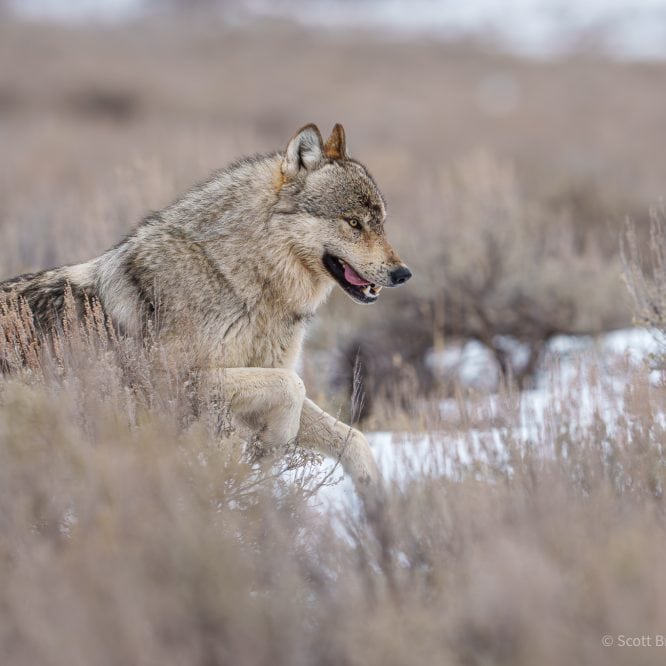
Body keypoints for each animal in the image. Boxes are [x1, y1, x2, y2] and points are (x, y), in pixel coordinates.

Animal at [0, 123, 411, 499]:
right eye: (353, 222)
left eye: (381, 223)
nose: (403, 274)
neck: (234, 278)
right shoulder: (175, 380)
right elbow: (292, 388)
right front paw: (268, 446)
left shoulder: (259, 371)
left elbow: (352, 437)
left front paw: (378, 509)